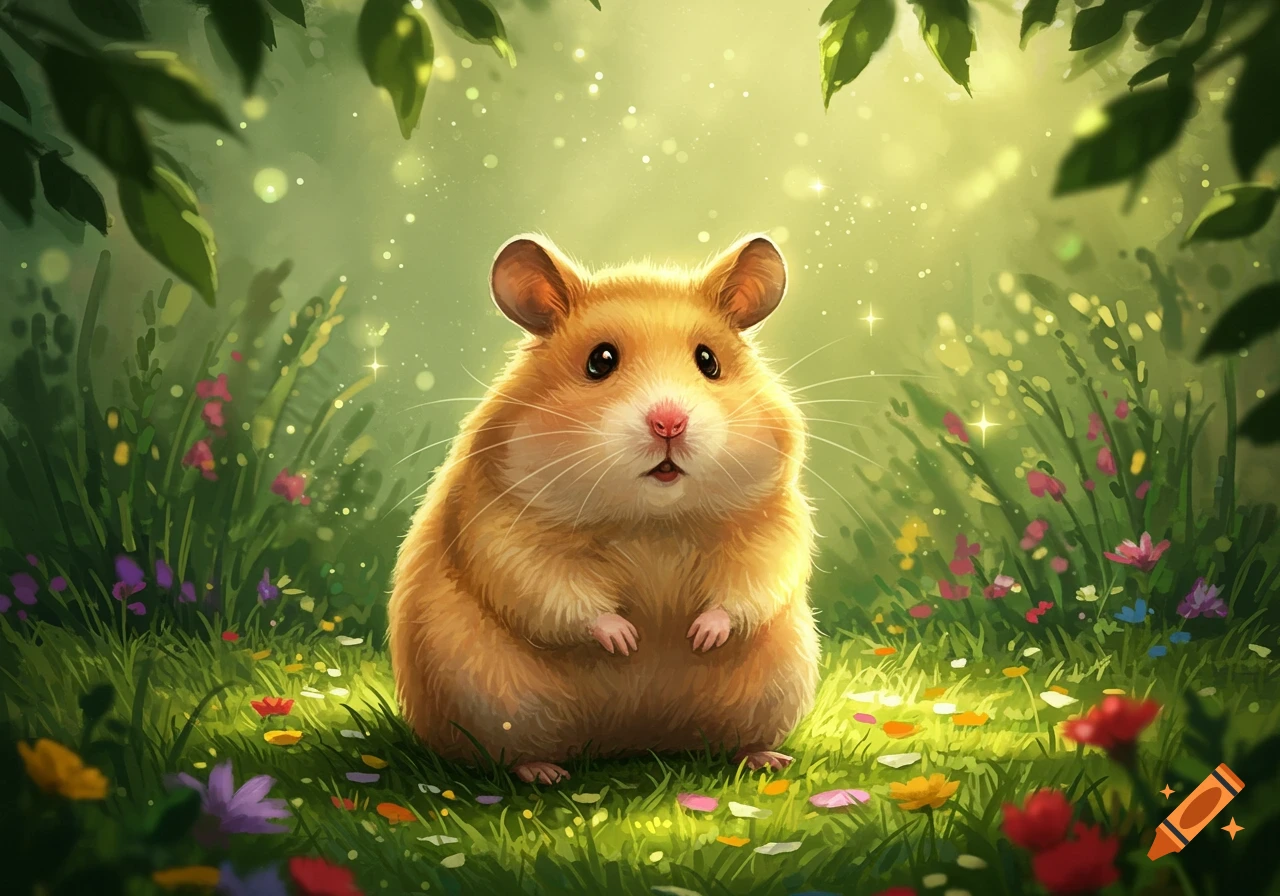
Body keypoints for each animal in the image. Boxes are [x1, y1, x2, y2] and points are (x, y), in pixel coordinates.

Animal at [388, 233, 819, 785]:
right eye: (601, 360)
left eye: (708, 361)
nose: (668, 423)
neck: (652, 521)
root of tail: (632, 743)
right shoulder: (501, 526)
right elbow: (556, 591)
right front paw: (627, 641)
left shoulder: (775, 523)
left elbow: (751, 585)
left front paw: (700, 636)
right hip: (486, 699)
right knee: (502, 755)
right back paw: (544, 773)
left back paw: (766, 758)